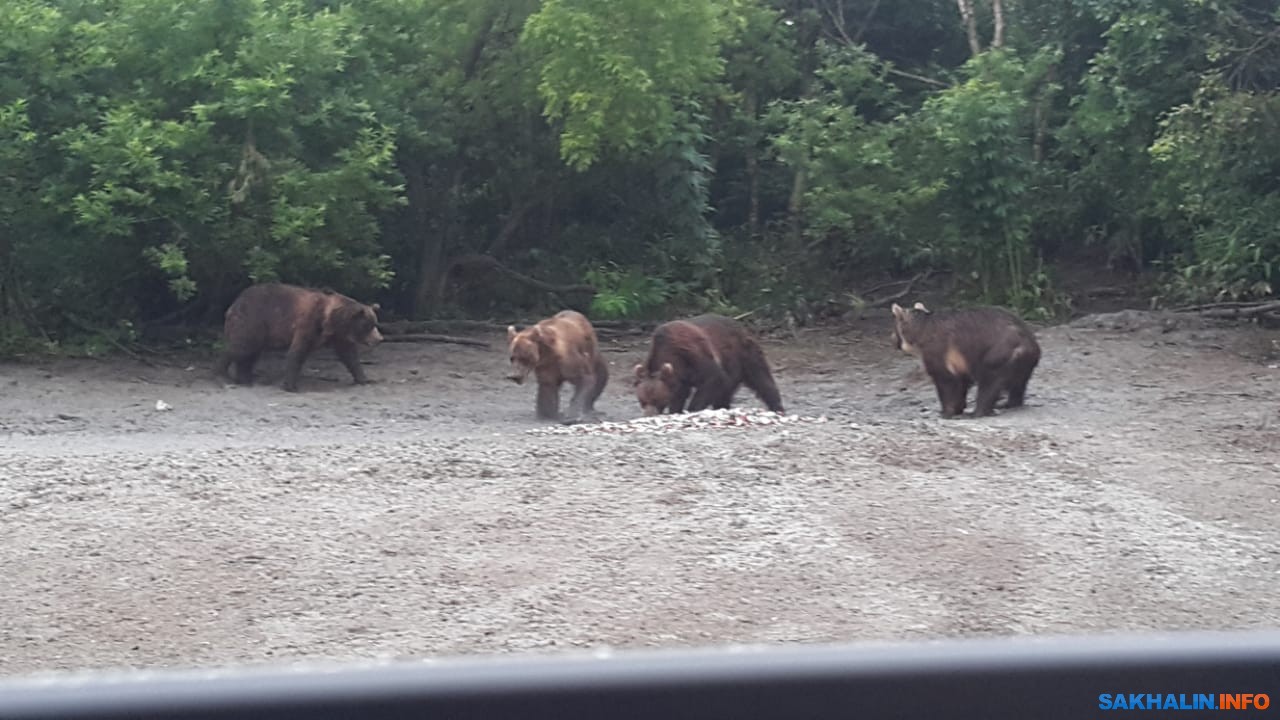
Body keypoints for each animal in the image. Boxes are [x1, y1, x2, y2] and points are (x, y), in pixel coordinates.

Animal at [215, 281, 381, 392]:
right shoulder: (309, 323)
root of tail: (235, 302)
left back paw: (245, 378)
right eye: (368, 325)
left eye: (375, 322)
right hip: (253, 320)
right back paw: (222, 374)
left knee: (250, 353)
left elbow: (349, 356)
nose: (380, 339)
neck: (332, 320)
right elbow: (298, 352)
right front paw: (290, 386)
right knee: (241, 347)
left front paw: (364, 379)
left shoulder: (339, 336)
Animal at [629, 312, 778, 415]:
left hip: (743, 353)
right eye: (642, 401)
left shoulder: (694, 355)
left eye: (656, 400)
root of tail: (738, 324)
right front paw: (675, 410)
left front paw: (691, 409)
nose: (649, 415)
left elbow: (713, 378)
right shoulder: (680, 377)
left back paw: (777, 407)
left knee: (761, 378)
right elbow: (678, 395)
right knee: (725, 394)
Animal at [890, 299, 1039, 417]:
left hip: (998, 353)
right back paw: (1009, 403)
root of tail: (1027, 343)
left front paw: (946, 411)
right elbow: (961, 382)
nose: (892, 339)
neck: (920, 332)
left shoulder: (938, 349)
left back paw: (977, 412)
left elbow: (945, 380)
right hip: (1024, 362)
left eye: (895, 329)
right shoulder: (961, 359)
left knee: (989, 381)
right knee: (1018, 384)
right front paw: (958, 407)